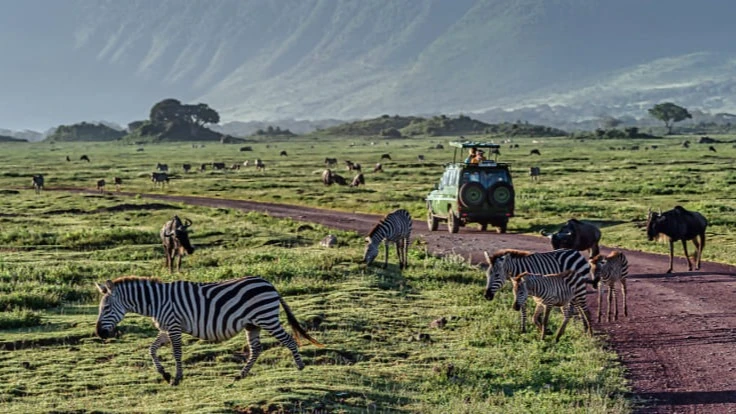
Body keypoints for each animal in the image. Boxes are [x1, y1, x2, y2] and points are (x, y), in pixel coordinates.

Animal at [94, 276, 322, 386]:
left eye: (106, 308)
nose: (99, 333)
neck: (156, 302)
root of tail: (270, 285)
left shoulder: (174, 326)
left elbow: (177, 353)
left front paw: (176, 378)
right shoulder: (166, 328)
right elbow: (151, 349)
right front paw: (165, 374)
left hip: (267, 318)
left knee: (289, 340)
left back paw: (300, 368)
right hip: (252, 324)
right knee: (256, 349)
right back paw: (240, 376)